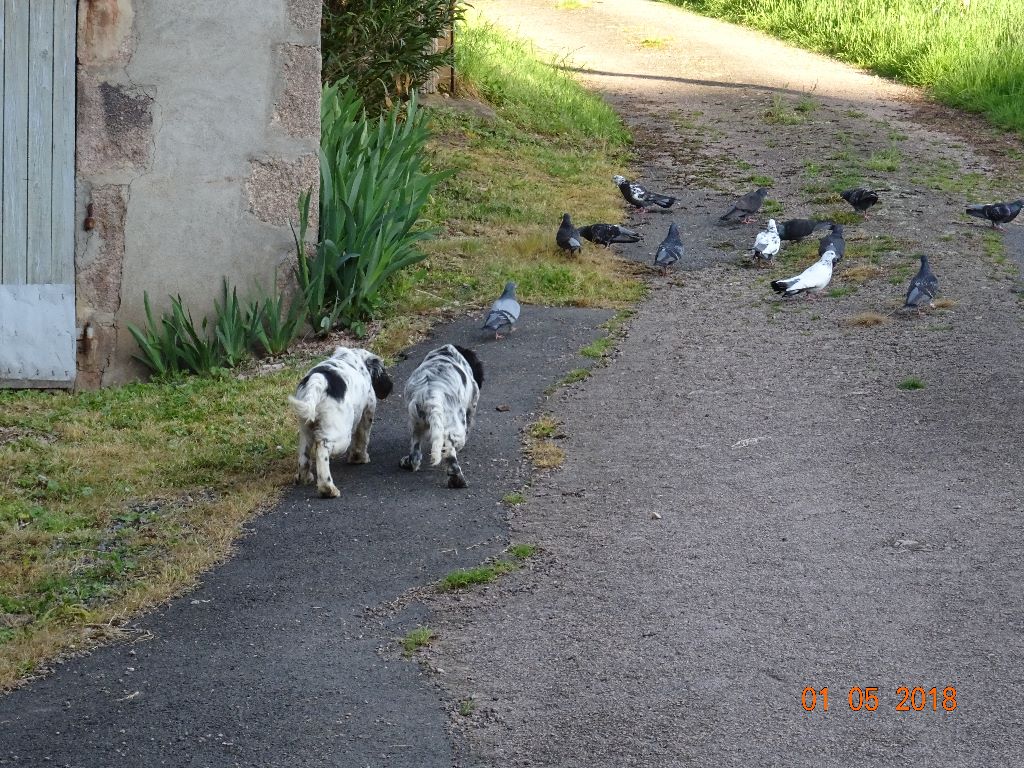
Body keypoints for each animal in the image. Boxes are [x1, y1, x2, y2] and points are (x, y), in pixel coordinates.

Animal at [294, 348, 397, 499]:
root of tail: (318, 381)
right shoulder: (368, 410)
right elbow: (362, 438)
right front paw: (359, 458)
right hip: (341, 436)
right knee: (322, 449)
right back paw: (328, 489)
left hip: (306, 428)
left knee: (304, 457)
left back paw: (305, 478)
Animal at [399, 346, 483, 489]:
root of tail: (431, 395)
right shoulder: (472, 403)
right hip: (455, 425)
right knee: (450, 451)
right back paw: (457, 480)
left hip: (415, 422)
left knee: (415, 453)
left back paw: (407, 463)